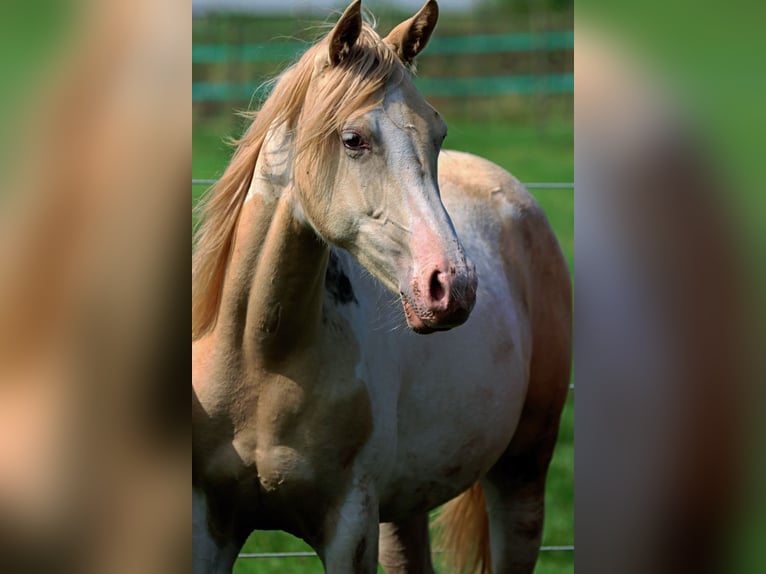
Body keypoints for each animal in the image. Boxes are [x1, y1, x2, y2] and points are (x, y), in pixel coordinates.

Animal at [195, 2, 572, 572]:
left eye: (438, 134)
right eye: (353, 139)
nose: (453, 286)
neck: (259, 360)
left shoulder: (349, 527)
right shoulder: (209, 525)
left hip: (523, 475)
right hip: (403, 508)